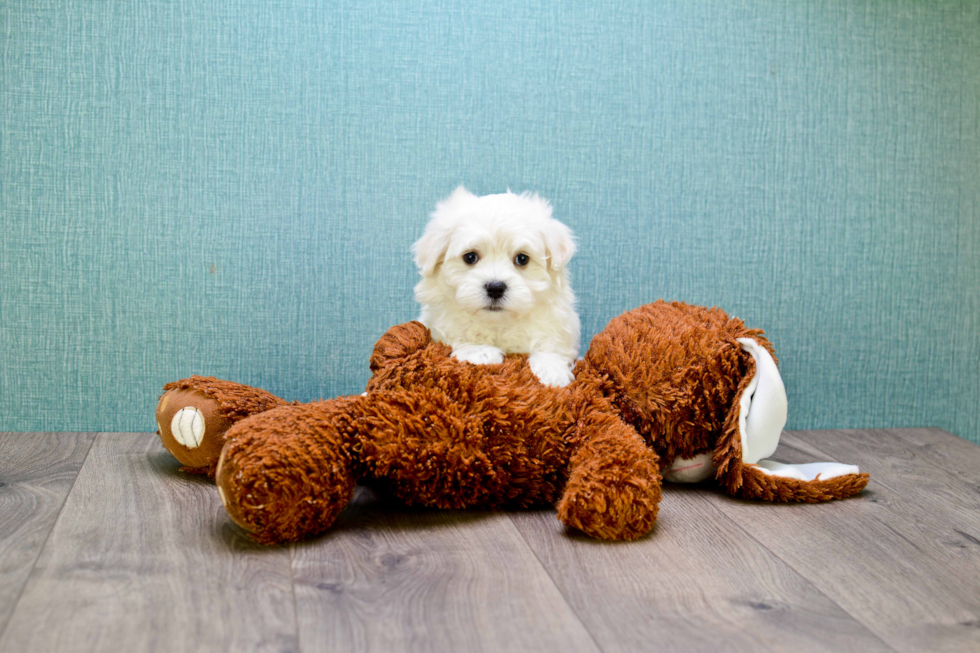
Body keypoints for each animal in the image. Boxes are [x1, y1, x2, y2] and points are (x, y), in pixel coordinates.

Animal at [410, 186, 580, 384]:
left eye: (522, 259)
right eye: (470, 257)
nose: (495, 288)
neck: (498, 323)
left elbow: (552, 346)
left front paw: (552, 371)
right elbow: (459, 331)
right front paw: (480, 352)